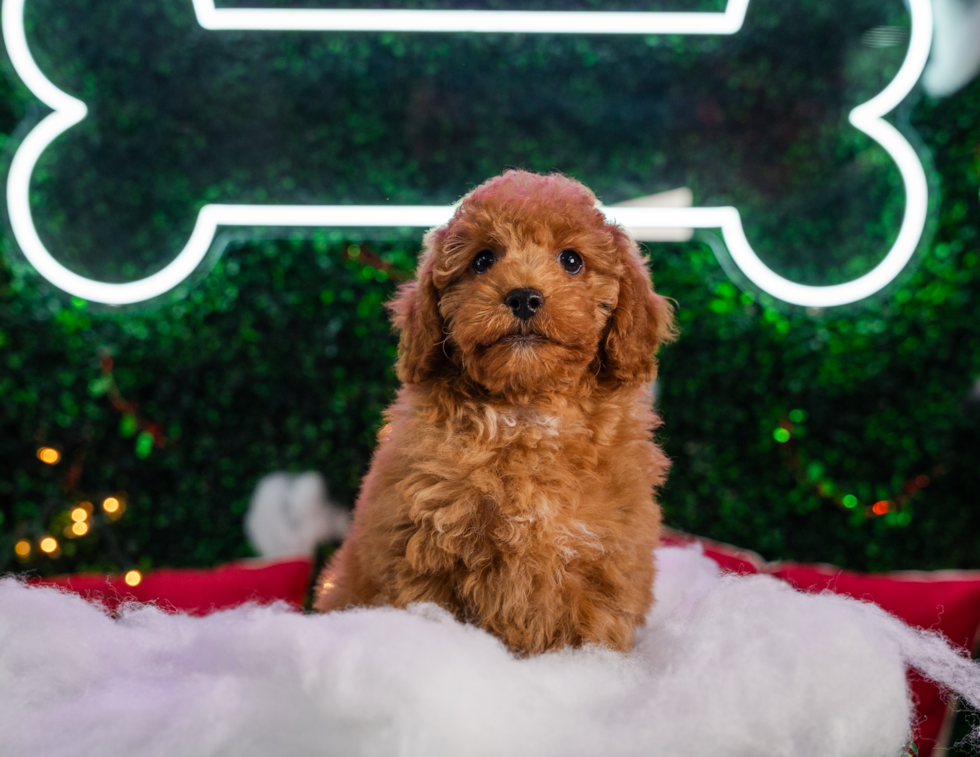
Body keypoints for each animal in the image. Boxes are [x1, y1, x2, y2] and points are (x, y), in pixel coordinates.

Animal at [318, 170, 676, 648]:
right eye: (482, 260)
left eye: (572, 260)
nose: (524, 297)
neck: (525, 411)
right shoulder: (421, 558)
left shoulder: (604, 568)